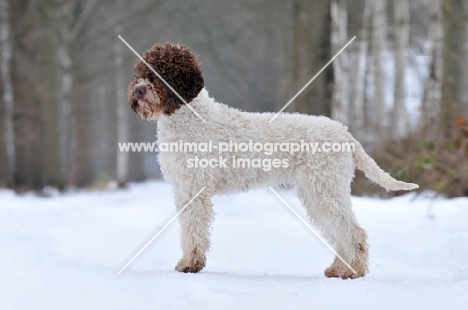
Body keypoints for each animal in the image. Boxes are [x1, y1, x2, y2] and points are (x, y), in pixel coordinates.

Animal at [126, 43, 418, 278]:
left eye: (160, 73)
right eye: (140, 72)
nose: (138, 90)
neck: (188, 118)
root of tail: (344, 133)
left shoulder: (194, 189)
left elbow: (194, 229)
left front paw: (190, 264)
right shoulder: (183, 189)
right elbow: (188, 229)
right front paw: (189, 261)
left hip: (324, 188)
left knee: (352, 232)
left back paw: (352, 271)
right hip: (319, 190)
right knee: (342, 231)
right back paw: (339, 268)